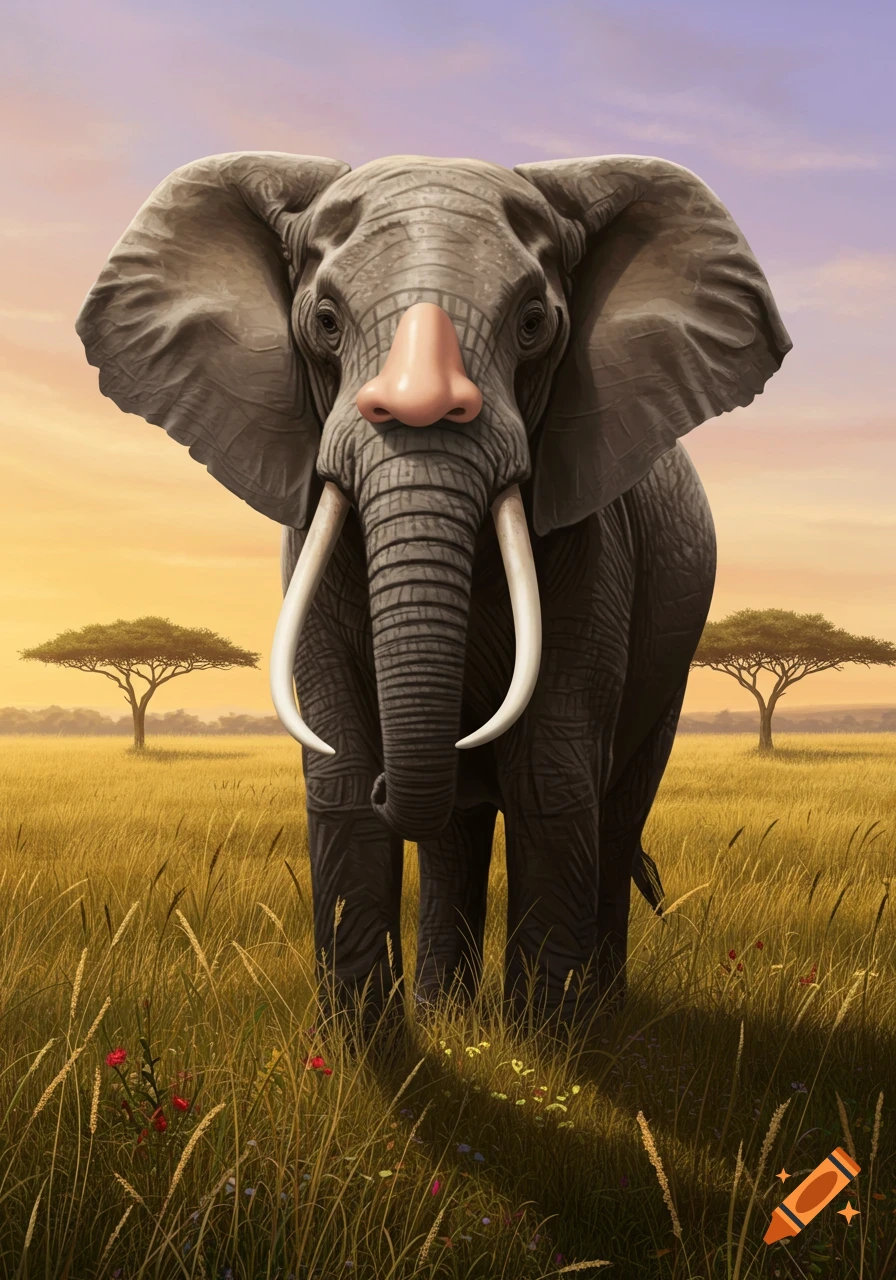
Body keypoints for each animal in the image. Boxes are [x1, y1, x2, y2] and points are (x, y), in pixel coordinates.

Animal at [75, 150, 791, 1029]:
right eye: (325, 323)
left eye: (533, 324)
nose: (399, 775)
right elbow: (341, 773)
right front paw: (363, 1043)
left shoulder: (597, 541)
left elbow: (550, 771)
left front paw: (546, 1044)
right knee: (456, 830)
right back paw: (445, 1011)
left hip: (673, 659)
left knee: (617, 814)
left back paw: (599, 1014)